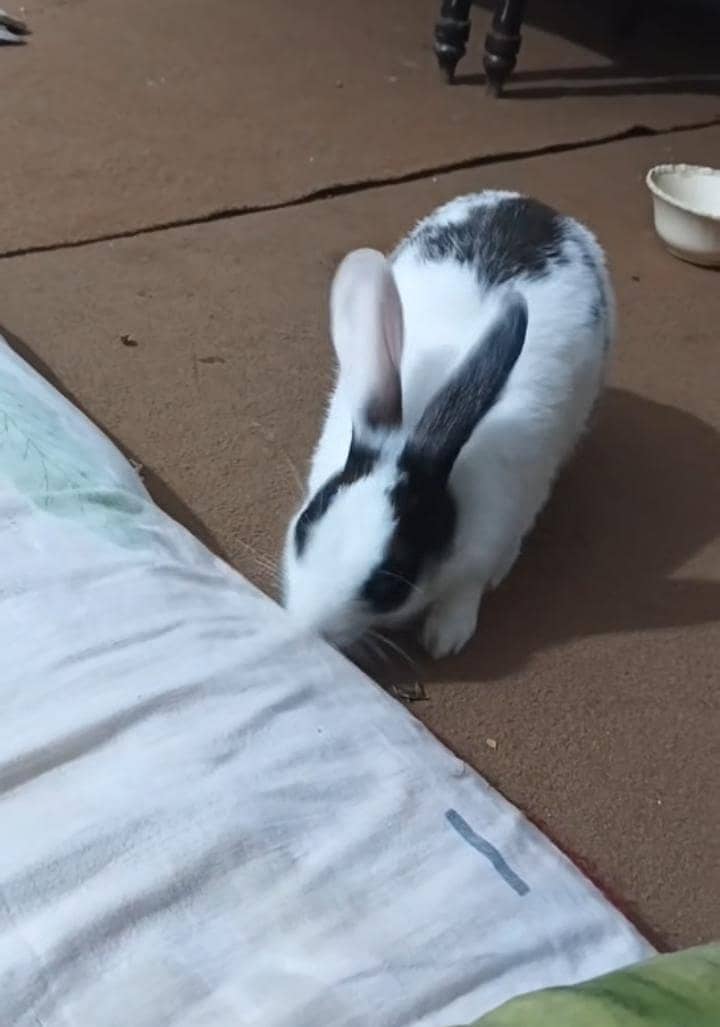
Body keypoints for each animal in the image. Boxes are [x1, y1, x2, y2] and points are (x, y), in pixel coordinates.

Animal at [282, 190, 615, 658]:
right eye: (304, 526)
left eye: (389, 581)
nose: (309, 627)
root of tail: (539, 206)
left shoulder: (484, 541)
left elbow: (467, 589)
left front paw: (445, 638)